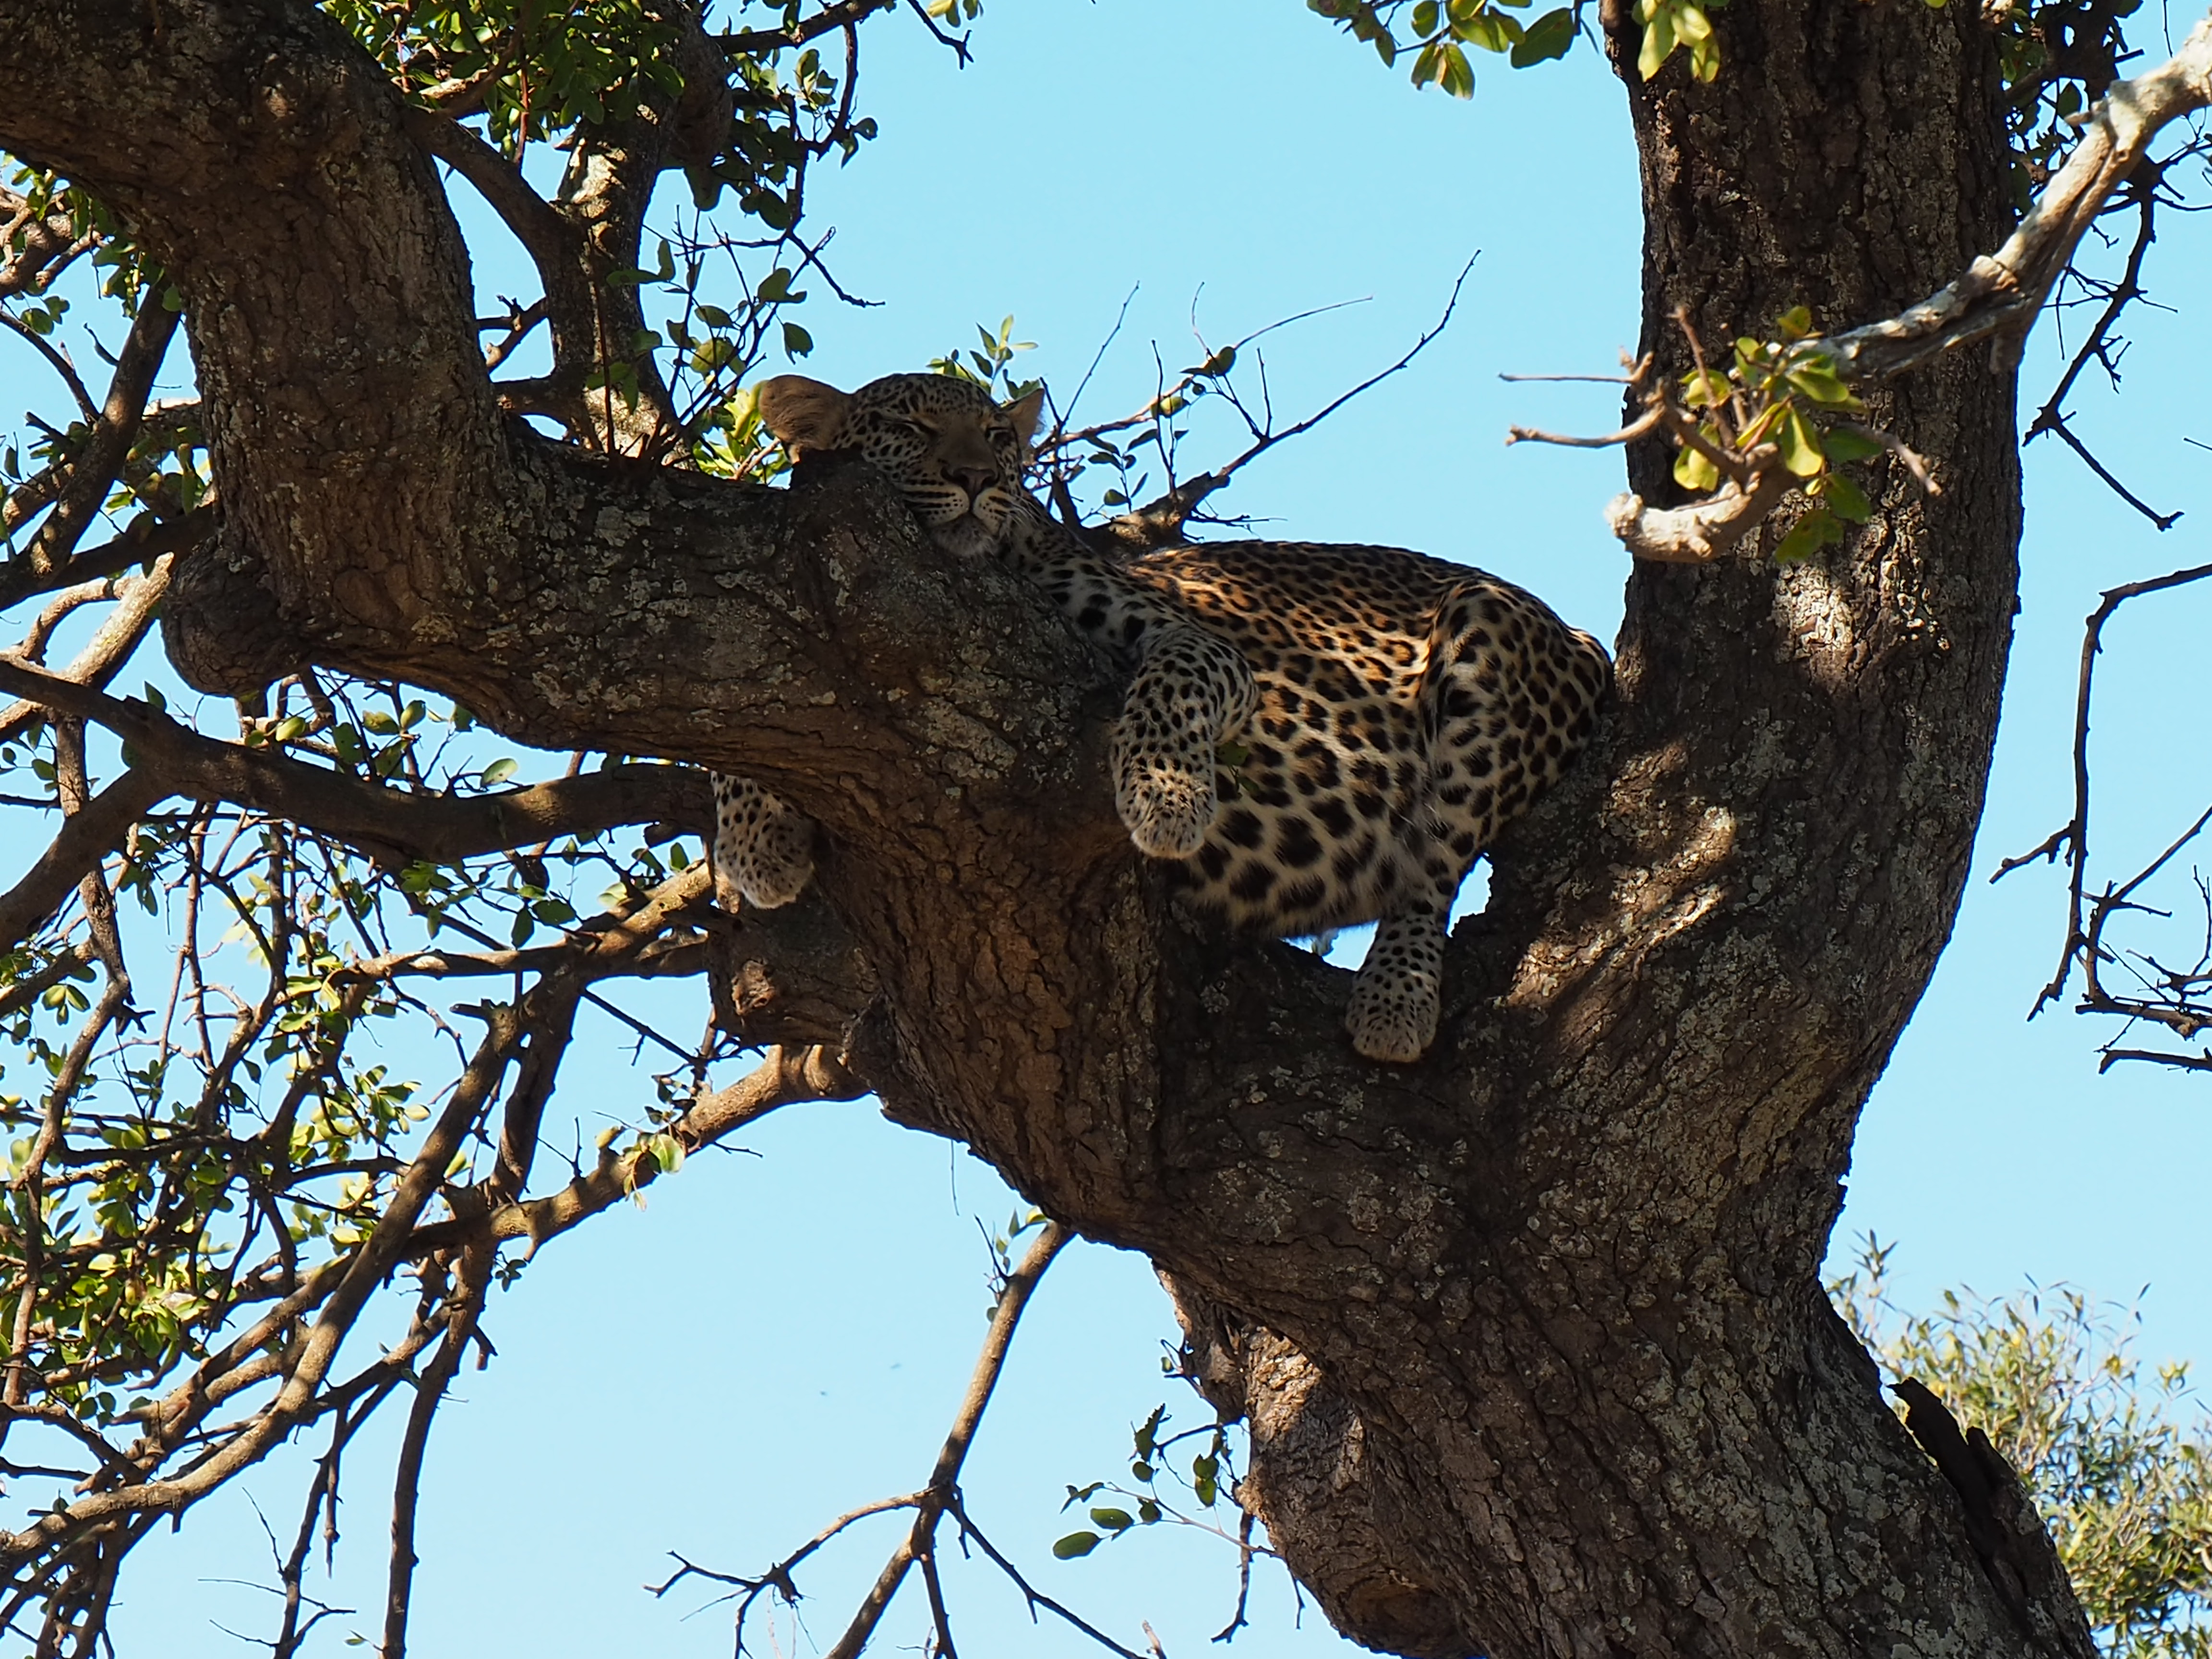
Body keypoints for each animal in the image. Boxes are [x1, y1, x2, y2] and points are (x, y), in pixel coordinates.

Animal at [713, 370, 1610, 1064]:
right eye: (909, 427)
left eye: (999, 437)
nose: (978, 479)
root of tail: (1583, 635)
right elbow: (747, 702)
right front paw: (755, 843)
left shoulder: (1204, 646)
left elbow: (1170, 682)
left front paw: (1167, 801)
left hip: (1486, 627)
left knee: (1431, 868)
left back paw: (1395, 999)